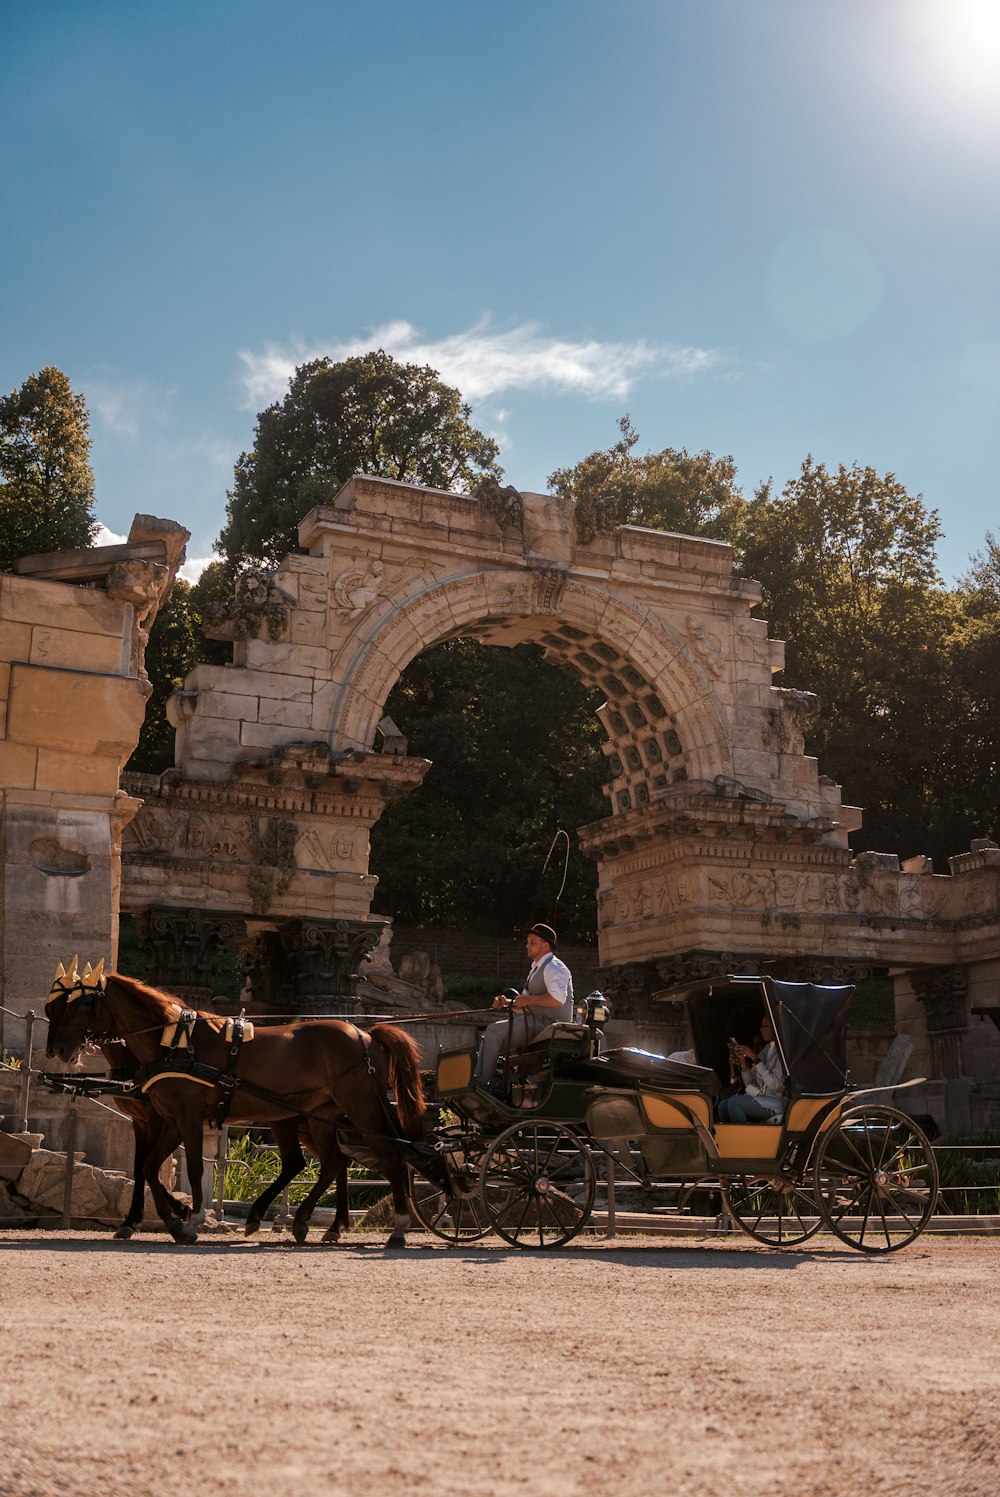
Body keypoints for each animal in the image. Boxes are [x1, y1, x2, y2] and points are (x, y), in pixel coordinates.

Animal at [45, 964, 425, 1245]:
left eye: (80, 1004)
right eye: (51, 1007)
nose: (58, 1049)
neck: (175, 1043)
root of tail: (365, 1033)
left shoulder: (185, 1117)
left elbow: (192, 1167)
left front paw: (191, 1219)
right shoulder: (169, 1119)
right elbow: (149, 1167)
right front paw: (171, 1218)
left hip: (361, 1111)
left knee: (389, 1158)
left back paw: (398, 1227)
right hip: (317, 1117)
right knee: (330, 1163)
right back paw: (302, 1222)